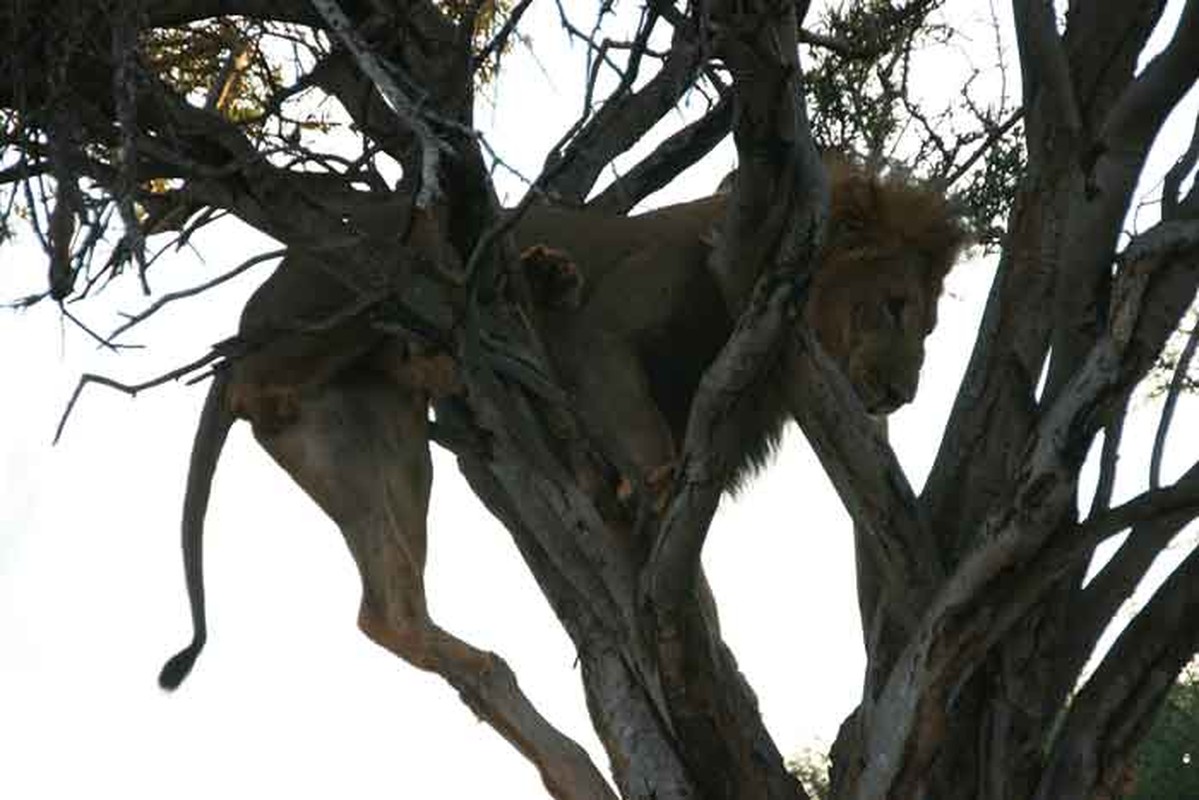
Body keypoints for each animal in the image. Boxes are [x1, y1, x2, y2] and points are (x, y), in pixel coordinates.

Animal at [157, 159, 963, 710]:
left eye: (928, 326)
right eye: (894, 305)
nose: (902, 394)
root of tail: (250, 312)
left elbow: (686, 564)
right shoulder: (608, 330)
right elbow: (640, 436)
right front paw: (654, 486)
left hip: (371, 438)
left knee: (385, 604)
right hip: (355, 278)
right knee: (273, 359)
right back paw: (525, 289)